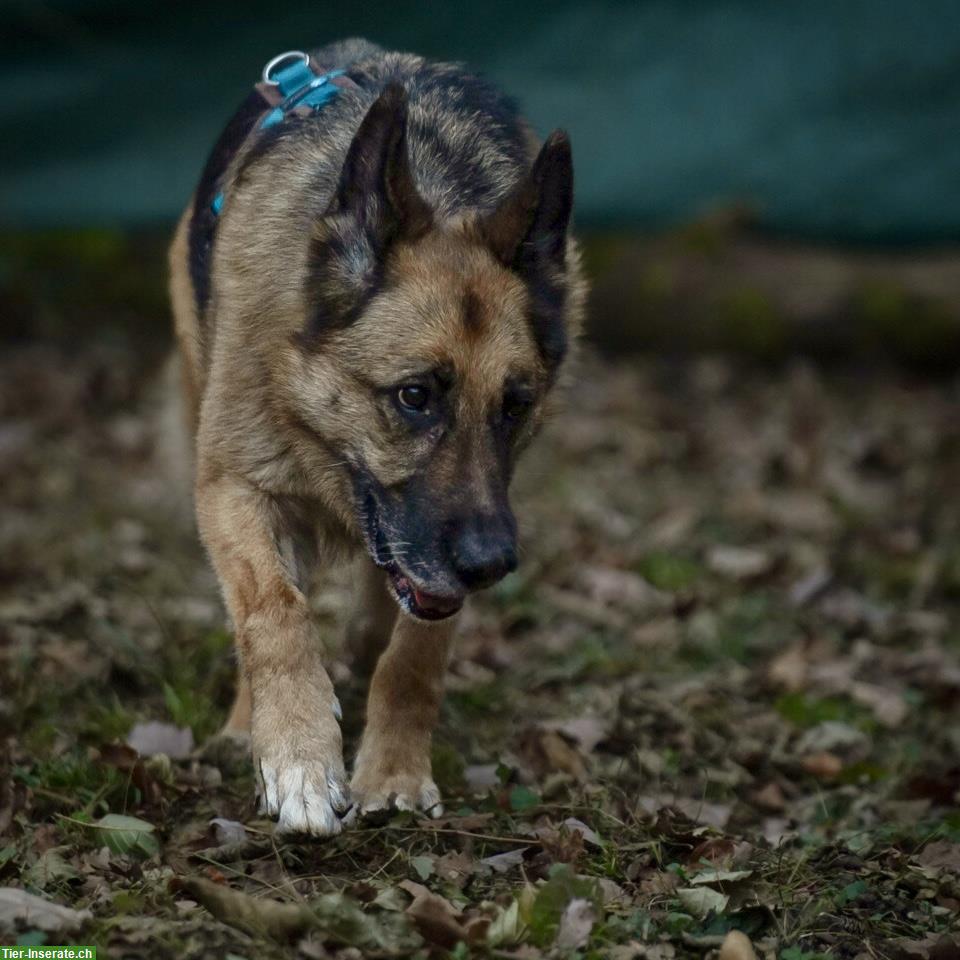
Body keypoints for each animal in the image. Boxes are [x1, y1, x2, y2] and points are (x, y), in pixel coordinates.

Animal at [167, 37, 584, 832]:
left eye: (515, 406)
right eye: (414, 397)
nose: (492, 564)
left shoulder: (443, 562)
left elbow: (414, 657)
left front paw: (391, 771)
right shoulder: (230, 487)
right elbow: (273, 611)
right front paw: (298, 753)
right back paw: (248, 726)